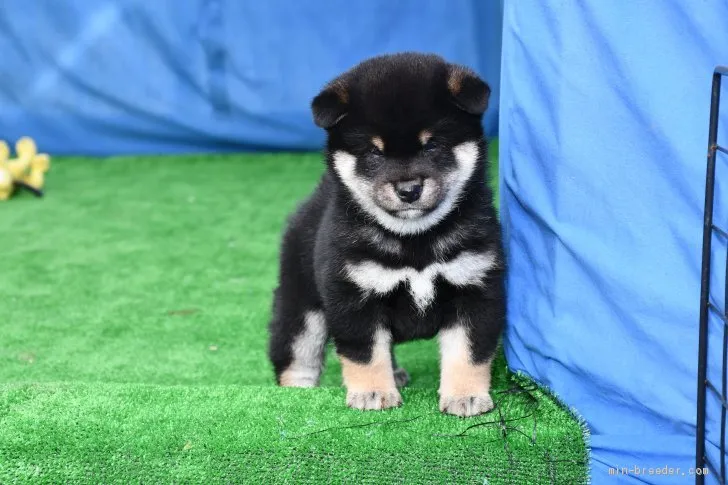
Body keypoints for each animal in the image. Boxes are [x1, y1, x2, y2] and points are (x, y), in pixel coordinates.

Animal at [270, 53, 504, 416]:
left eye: (432, 145)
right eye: (374, 153)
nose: (409, 190)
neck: (415, 240)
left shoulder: (475, 287)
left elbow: (467, 352)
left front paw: (465, 395)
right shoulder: (354, 296)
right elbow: (366, 353)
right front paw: (373, 392)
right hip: (302, 302)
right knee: (298, 353)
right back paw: (297, 392)